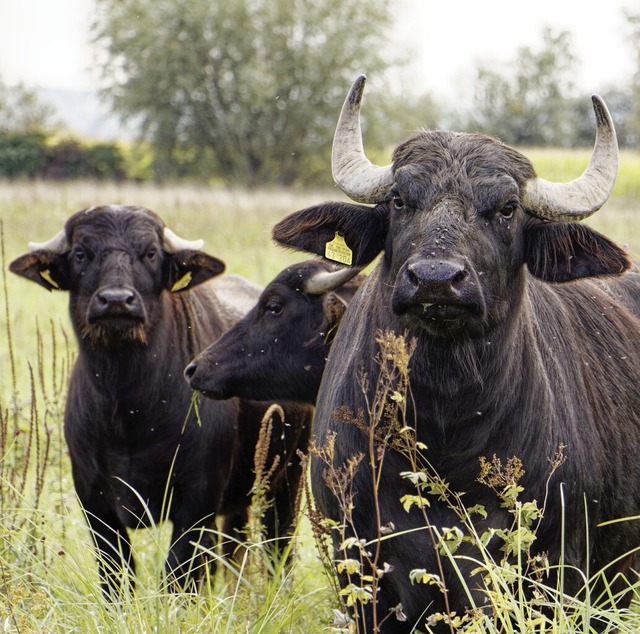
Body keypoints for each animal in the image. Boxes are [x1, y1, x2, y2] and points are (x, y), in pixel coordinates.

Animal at [8, 205, 312, 596]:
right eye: (80, 253)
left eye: (150, 253)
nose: (116, 301)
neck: (129, 410)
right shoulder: (94, 500)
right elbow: (117, 575)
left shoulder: (197, 500)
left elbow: (178, 576)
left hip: (289, 480)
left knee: (278, 548)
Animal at [272, 76, 640, 628]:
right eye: (399, 200)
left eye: (507, 208)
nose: (436, 280)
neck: (445, 431)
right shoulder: (358, 570)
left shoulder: (557, 574)